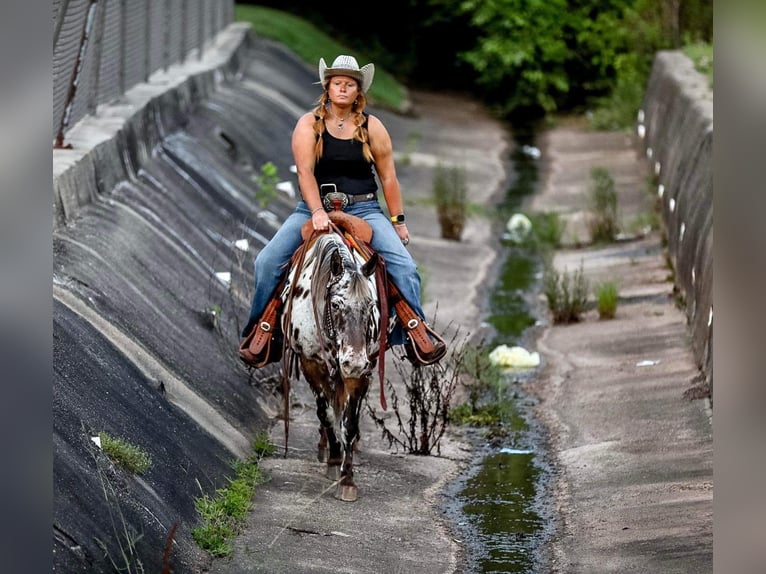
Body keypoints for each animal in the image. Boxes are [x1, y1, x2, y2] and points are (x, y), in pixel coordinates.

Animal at [280, 222, 390, 504]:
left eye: (371, 305)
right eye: (336, 305)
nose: (353, 362)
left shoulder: (359, 372)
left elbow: (349, 422)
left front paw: (348, 479)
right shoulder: (311, 363)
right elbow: (326, 413)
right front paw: (334, 459)